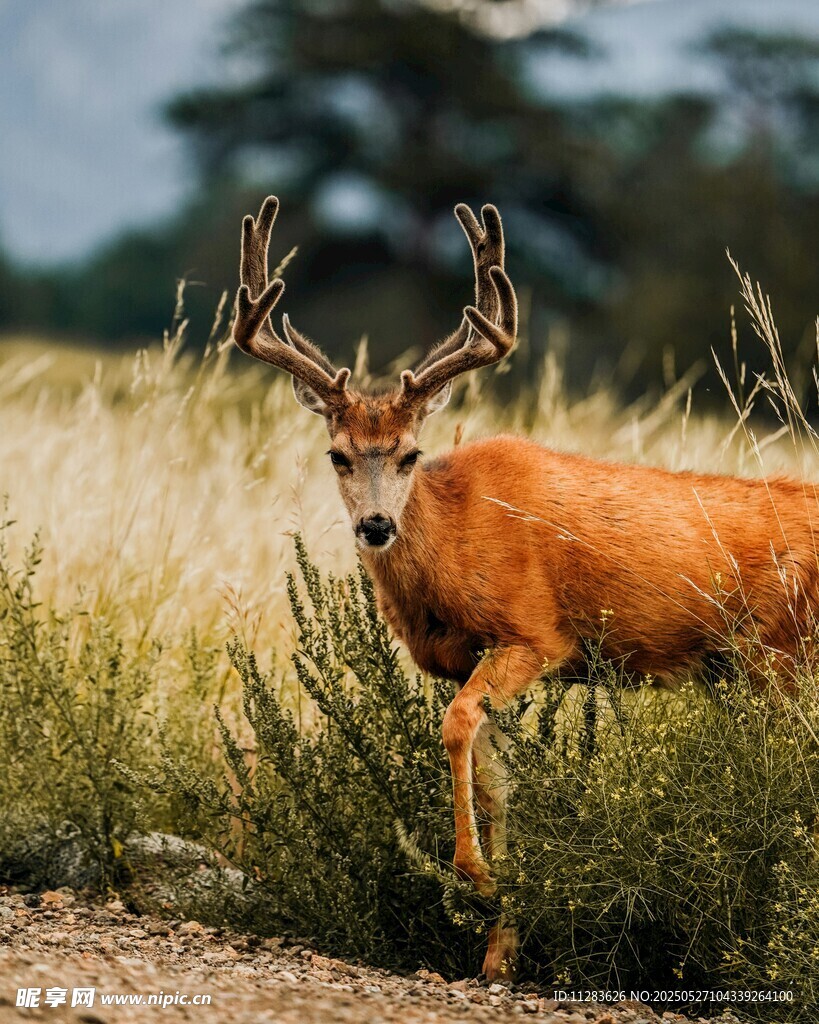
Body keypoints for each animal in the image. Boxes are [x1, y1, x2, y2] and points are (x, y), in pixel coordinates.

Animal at [232, 195, 819, 982]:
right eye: (336, 455)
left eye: (410, 453)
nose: (377, 525)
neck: (453, 539)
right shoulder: (471, 659)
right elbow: (496, 777)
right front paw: (499, 949)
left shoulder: (534, 633)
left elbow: (456, 726)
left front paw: (476, 877)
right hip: (744, 671)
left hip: (780, 655)